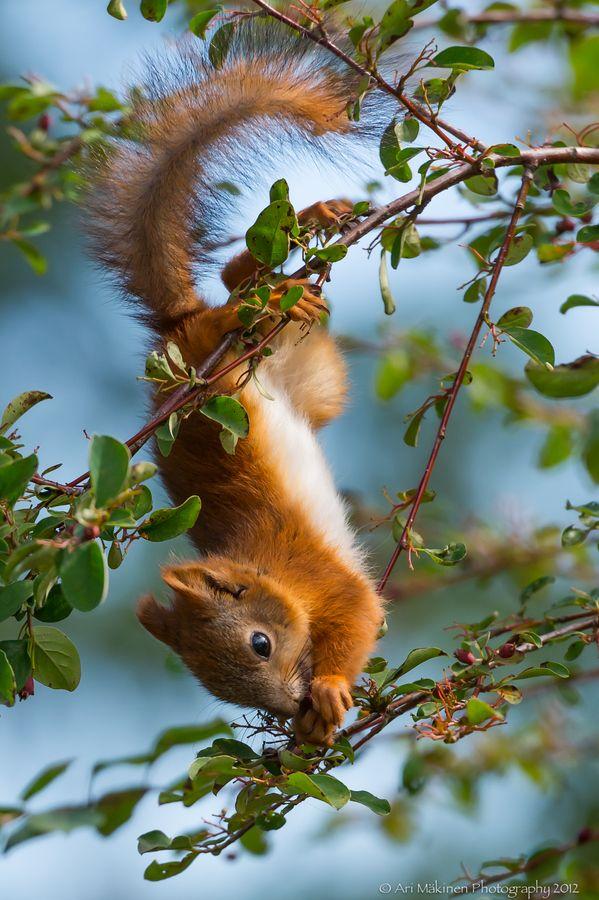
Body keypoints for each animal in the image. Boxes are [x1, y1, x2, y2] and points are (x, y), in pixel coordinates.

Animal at [85, 21, 384, 744]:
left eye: (259, 643)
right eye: (215, 688)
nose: (285, 708)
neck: (268, 572)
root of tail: (177, 334)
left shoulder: (323, 577)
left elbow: (360, 610)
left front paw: (328, 688)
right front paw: (310, 726)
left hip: (226, 363)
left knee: (233, 295)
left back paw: (288, 258)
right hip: (312, 371)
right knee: (237, 281)